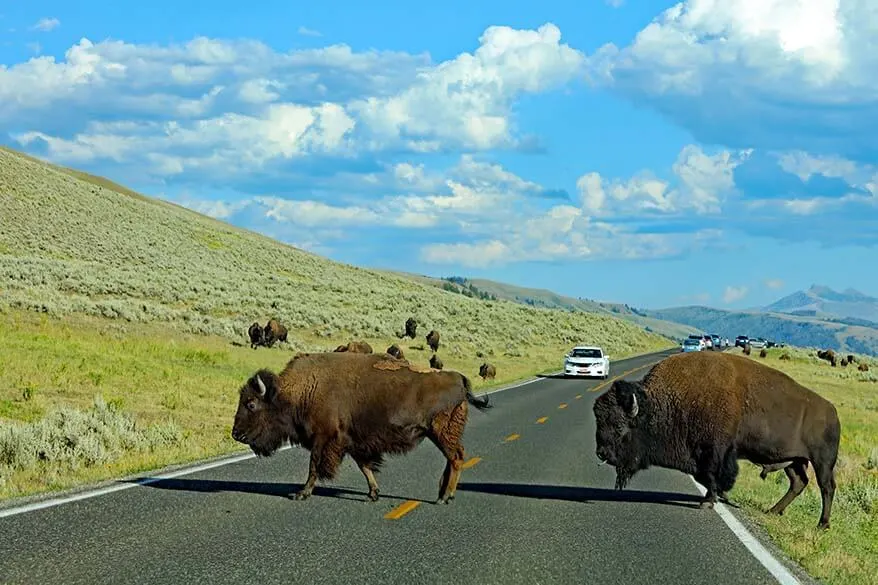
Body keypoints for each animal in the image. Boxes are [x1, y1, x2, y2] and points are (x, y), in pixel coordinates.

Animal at [232, 350, 496, 504]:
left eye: (251, 403)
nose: (236, 434)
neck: (302, 389)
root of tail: (458, 378)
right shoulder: (353, 442)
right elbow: (365, 466)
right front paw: (373, 494)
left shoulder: (324, 438)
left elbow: (314, 466)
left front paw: (301, 494)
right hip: (439, 434)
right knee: (452, 459)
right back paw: (443, 494)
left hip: (441, 432)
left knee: (456, 457)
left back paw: (445, 497)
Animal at [596, 350, 844, 532]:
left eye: (619, 426)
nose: (601, 453)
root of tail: (832, 411)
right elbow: (707, 477)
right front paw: (718, 497)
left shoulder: (714, 452)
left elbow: (711, 475)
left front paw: (708, 501)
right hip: (794, 461)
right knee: (798, 483)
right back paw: (773, 511)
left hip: (822, 462)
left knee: (827, 487)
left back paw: (822, 525)